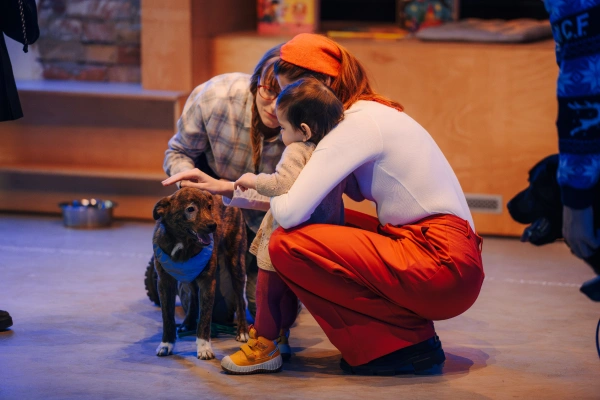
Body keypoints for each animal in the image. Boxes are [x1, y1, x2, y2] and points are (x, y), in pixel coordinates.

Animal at [152, 187, 249, 359]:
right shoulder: (164, 282)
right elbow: (167, 316)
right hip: (190, 276)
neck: (183, 243)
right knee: (193, 298)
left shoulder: (207, 282)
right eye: (191, 209)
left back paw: (242, 330)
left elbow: (205, 317)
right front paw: (166, 344)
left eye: (209, 207)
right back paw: (187, 323)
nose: (213, 225)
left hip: (236, 261)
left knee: (240, 300)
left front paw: (204, 347)